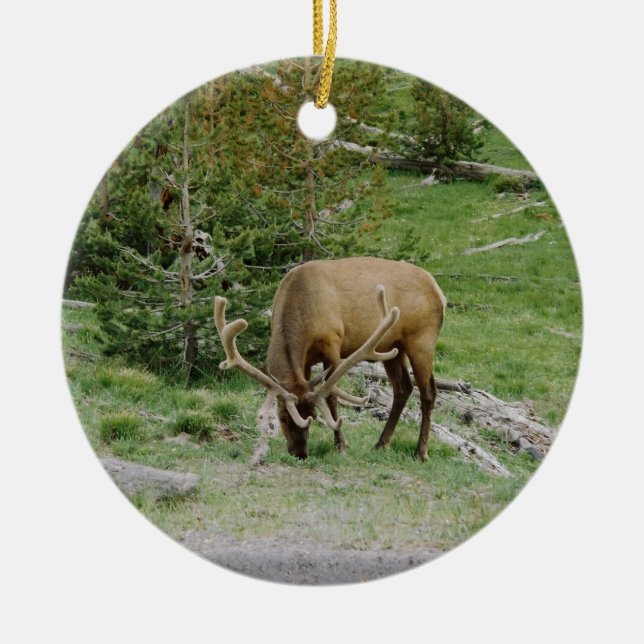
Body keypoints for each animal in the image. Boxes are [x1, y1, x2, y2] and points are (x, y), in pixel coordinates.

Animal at [214, 257, 446, 461]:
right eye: (281, 417)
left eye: (314, 416)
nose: (300, 454)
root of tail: (439, 292)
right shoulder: (305, 362)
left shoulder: (333, 344)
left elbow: (332, 397)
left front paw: (341, 445)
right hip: (392, 347)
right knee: (403, 388)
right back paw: (381, 444)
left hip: (422, 340)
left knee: (428, 392)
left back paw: (421, 452)